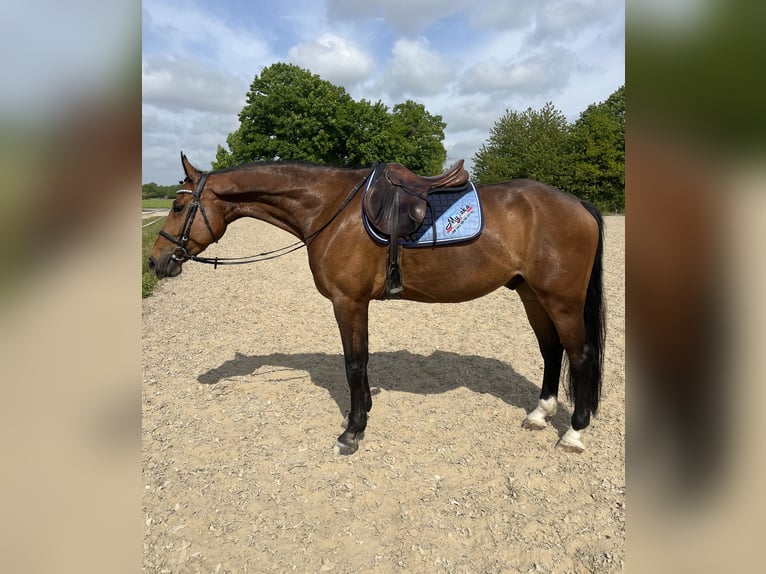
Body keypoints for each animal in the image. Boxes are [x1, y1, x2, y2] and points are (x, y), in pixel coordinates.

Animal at [148, 153, 605, 455]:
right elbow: (362, 360)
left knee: (579, 354)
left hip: (562, 299)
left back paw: (574, 432)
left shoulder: (347, 302)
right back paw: (540, 414)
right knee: (551, 350)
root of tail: (577, 204)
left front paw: (352, 431)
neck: (330, 209)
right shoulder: (357, 304)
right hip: (531, 294)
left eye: (179, 206)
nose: (155, 262)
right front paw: (363, 413)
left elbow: (353, 363)